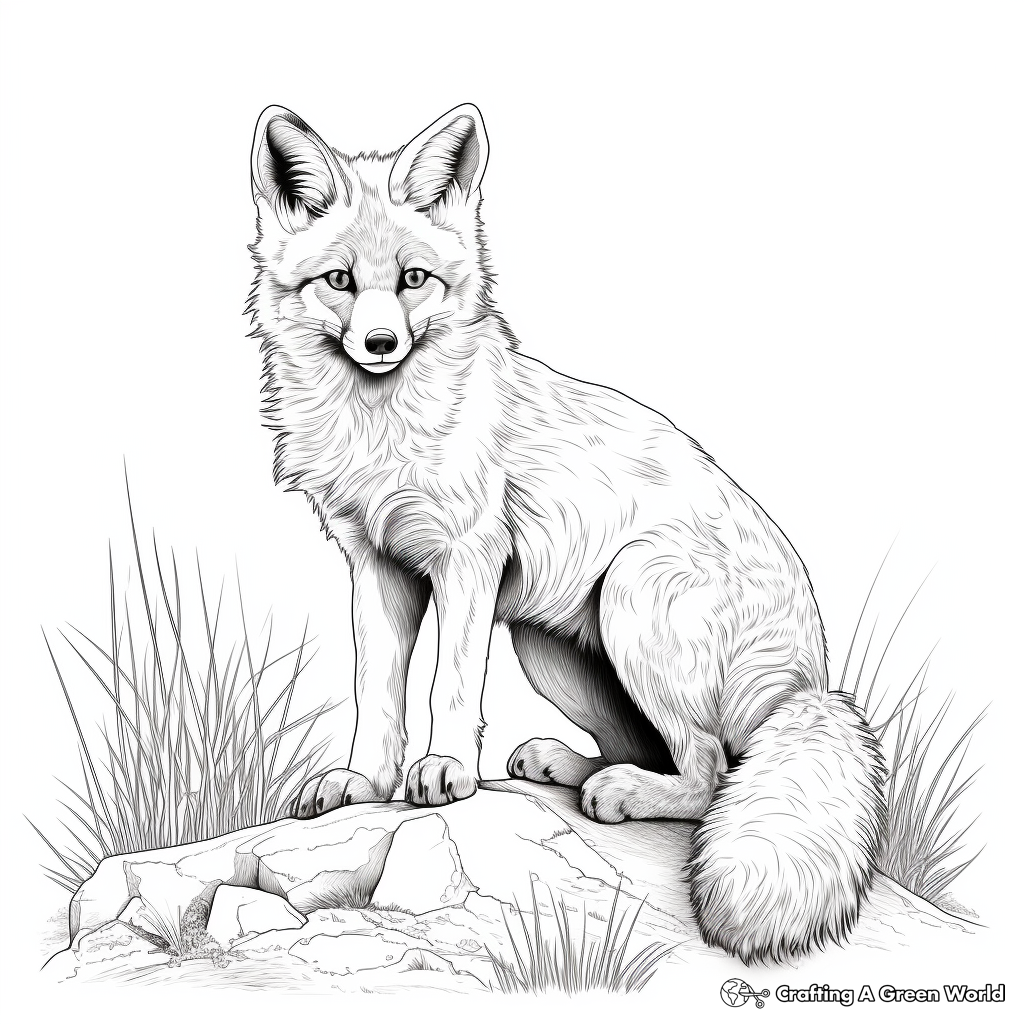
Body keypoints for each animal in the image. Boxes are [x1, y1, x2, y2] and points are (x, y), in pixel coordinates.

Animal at [247, 102, 886, 964]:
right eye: (340, 281)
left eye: (413, 280)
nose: (380, 345)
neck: (382, 429)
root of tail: (812, 679)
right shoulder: (376, 565)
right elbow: (376, 692)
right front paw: (364, 785)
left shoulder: (468, 558)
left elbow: (449, 688)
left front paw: (445, 771)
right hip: (551, 653)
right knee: (648, 748)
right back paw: (565, 767)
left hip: (633, 601)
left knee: (709, 772)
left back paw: (622, 793)